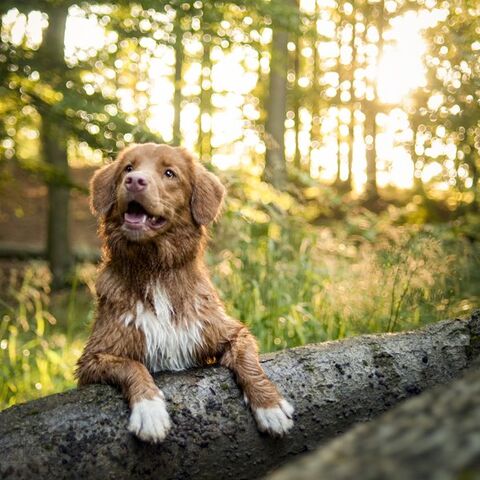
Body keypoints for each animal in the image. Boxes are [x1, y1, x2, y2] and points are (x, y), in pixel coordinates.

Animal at [76, 142, 292, 442]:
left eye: (169, 173)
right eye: (128, 168)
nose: (134, 180)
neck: (155, 267)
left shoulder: (228, 330)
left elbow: (248, 361)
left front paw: (270, 405)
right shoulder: (92, 359)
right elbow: (131, 365)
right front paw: (150, 410)